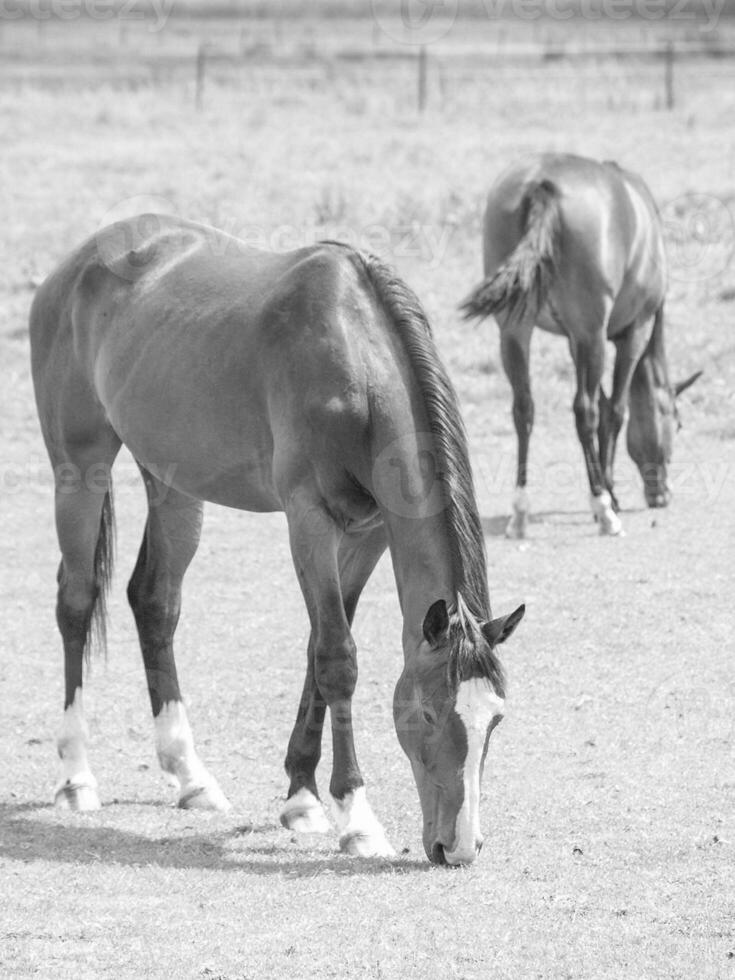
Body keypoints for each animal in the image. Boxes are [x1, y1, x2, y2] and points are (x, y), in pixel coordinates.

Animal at [28, 214, 524, 864]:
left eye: (495, 718)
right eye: (426, 712)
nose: (459, 847)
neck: (357, 367)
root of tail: (77, 262)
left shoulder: (368, 534)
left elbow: (319, 646)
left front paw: (302, 796)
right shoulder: (307, 521)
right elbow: (337, 657)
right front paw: (356, 818)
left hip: (174, 484)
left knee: (155, 602)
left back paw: (190, 776)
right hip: (78, 469)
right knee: (77, 602)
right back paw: (75, 777)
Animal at [460, 152, 700, 536]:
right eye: (676, 423)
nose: (661, 494)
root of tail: (541, 184)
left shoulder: (576, 341)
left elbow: (601, 405)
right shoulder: (631, 333)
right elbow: (614, 410)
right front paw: (610, 494)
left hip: (515, 331)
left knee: (524, 408)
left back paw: (520, 510)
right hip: (592, 335)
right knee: (584, 411)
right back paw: (603, 509)